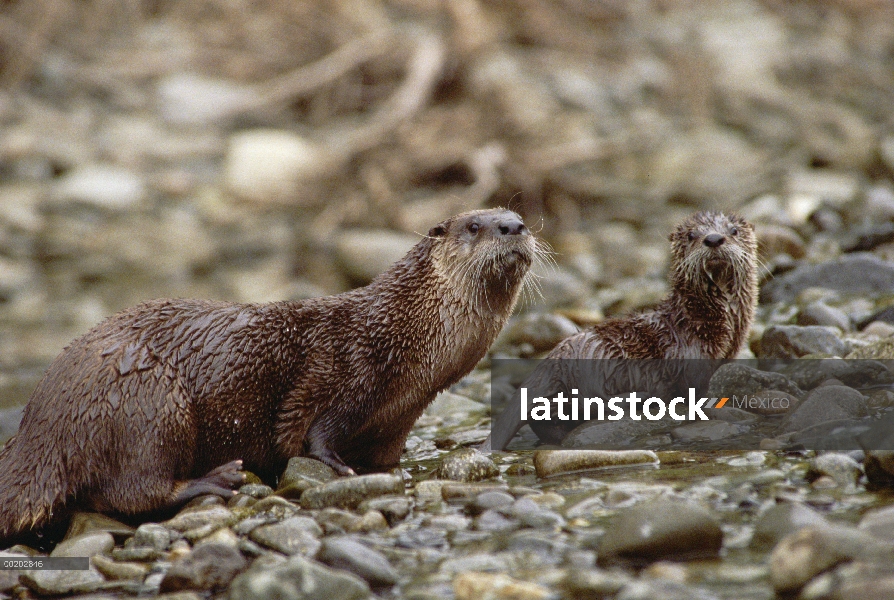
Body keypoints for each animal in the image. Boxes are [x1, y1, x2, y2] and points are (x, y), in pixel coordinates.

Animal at [486, 211, 760, 450]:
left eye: (733, 231)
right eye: (692, 235)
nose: (713, 239)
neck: (698, 320)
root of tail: (552, 362)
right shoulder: (691, 359)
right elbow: (695, 390)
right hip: (596, 363)